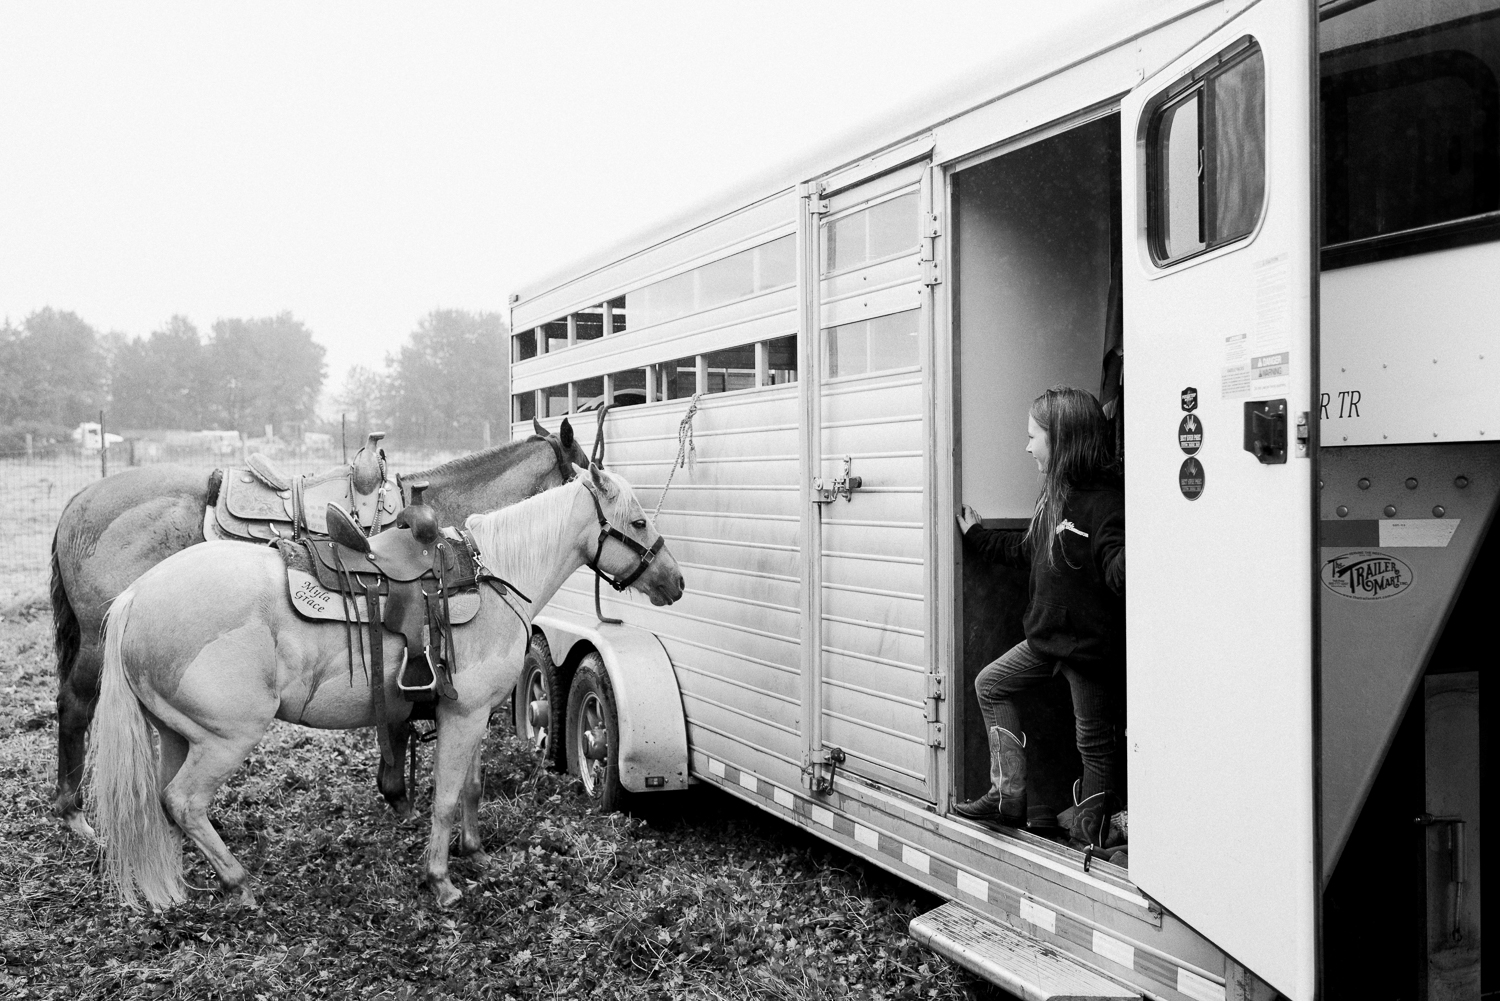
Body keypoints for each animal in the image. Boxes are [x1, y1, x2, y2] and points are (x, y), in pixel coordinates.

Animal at [48, 423, 585, 840]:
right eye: (583, 467)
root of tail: (79, 501)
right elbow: (395, 723)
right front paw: (399, 796)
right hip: (99, 641)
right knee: (75, 707)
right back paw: (74, 813)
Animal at [87, 465, 687, 912]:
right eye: (637, 520)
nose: (676, 582)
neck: (492, 578)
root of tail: (136, 596)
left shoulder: (470, 716)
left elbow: (470, 789)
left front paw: (475, 854)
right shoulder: (463, 715)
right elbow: (444, 799)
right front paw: (441, 881)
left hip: (177, 735)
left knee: (165, 803)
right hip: (224, 739)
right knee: (185, 802)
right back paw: (240, 884)